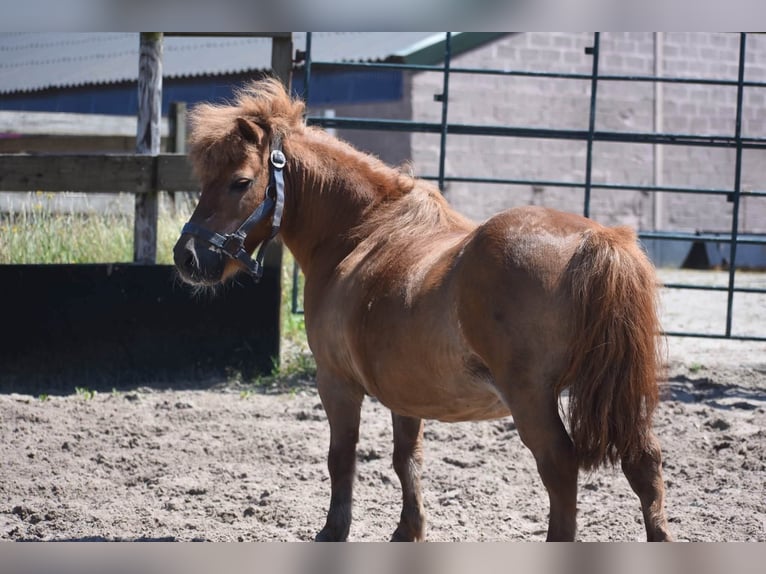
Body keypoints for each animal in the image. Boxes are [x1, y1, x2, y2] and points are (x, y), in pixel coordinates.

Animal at [173, 78, 673, 542]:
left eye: (240, 181)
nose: (186, 257)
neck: (360, 231)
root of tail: (598, 239)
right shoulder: (404, 393)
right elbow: (406, 461)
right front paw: (407, 530)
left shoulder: (336, 382)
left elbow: (342, 457)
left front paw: (334, 530)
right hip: (621, 394)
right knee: (644, 466)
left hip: (531, 398)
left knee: (561, 471)